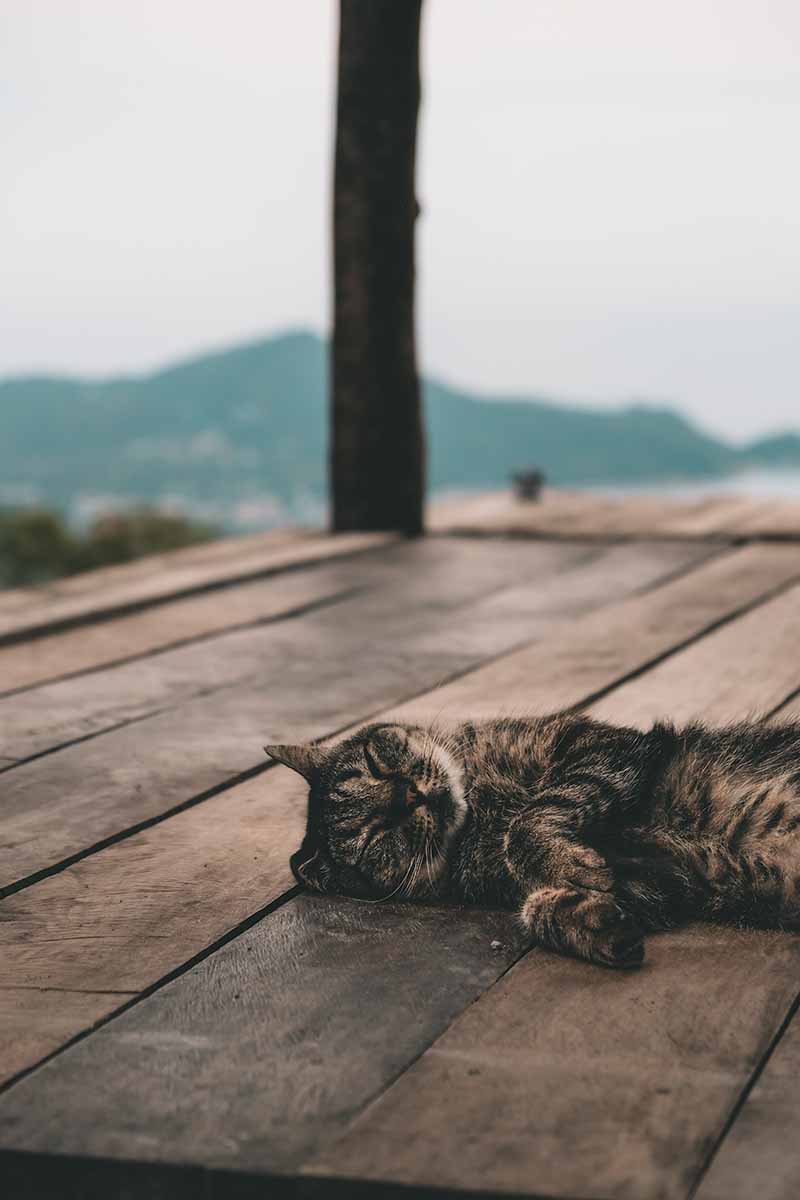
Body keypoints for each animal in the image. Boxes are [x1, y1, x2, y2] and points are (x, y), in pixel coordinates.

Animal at [266, 715, 800, 969]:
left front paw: (560, 863)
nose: (409, 796)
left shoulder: (597, 748)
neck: (480, 808)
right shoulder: (656, 880)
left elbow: (531, 818)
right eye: (374, 835)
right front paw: (590, 920)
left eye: (377, 764)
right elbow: (535, 907)